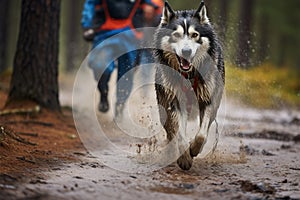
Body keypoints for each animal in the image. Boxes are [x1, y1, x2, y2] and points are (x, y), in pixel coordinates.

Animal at [155, 1, 223, 170]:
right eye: (176, 35)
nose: (186, 51)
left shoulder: (208, 100)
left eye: (195, 35)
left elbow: (202, 134)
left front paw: (193, 148)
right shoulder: (176, 100)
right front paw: (184, 157)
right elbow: (179, 134)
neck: (189, 76)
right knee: (170, 130)